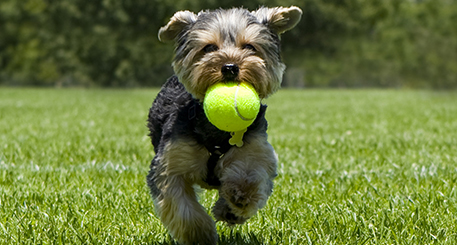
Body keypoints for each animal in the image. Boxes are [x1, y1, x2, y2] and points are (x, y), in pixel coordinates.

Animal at [146, 6, 302, 245]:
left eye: (249, 46)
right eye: (209, 47)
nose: (229, 67)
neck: (217, 131)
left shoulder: (255, 148)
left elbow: (250, 174)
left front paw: (236, 201)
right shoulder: (170, 162)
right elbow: (182, 208)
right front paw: (200, 236)